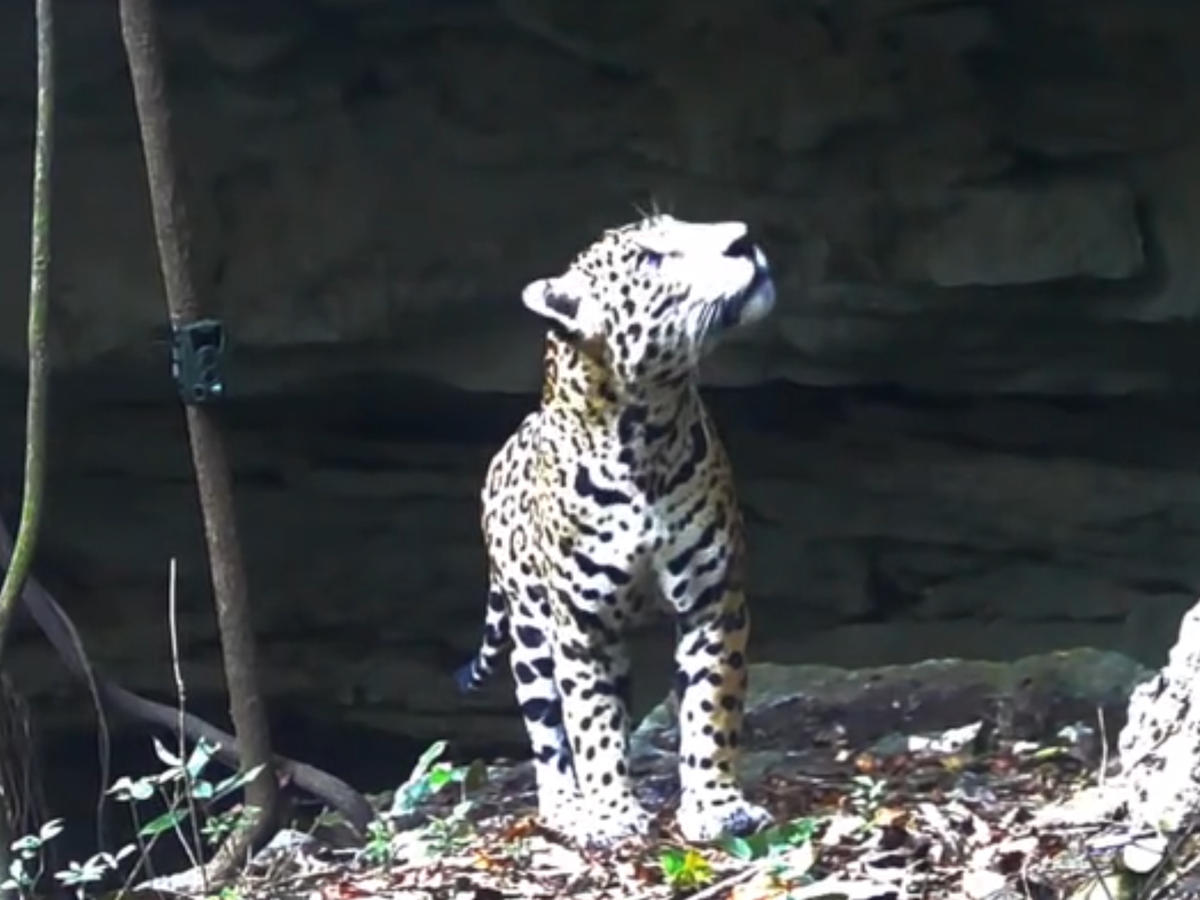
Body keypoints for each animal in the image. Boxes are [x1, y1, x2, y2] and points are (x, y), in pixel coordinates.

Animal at [455, 212, 777, 847]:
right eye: (651, 257)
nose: (743, 237)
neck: (647, 431)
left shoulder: (714, 600)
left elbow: (710, 706)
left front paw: (716, 806)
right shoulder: (582, 629)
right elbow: (589, 726)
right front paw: (609, 814)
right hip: (531, 636)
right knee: (549, 733)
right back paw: (566, 807)